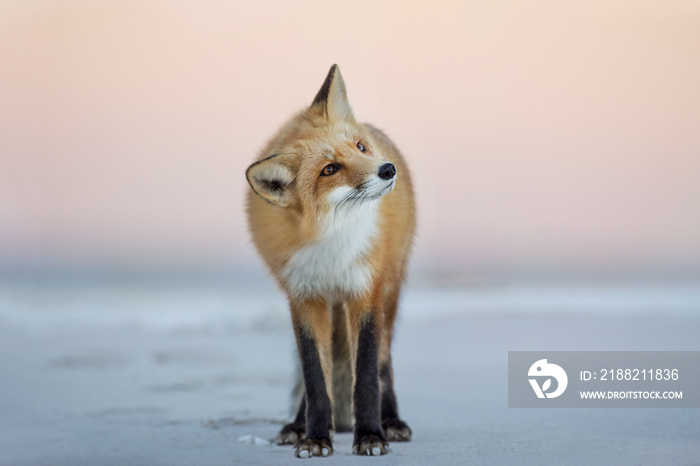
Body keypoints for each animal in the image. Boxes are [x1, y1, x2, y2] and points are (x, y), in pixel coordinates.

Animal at [246, 63, 416, 456]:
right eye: (330, 169)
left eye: (359, 147)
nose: (387, 170)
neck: (328, 244)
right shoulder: (304, 297)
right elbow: (314, 377)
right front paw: (315, 438)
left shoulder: (364, 291)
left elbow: (366, 374)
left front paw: (370, 435)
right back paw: (297, 425)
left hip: (390, 290)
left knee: (384, 364)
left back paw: (392, 421)